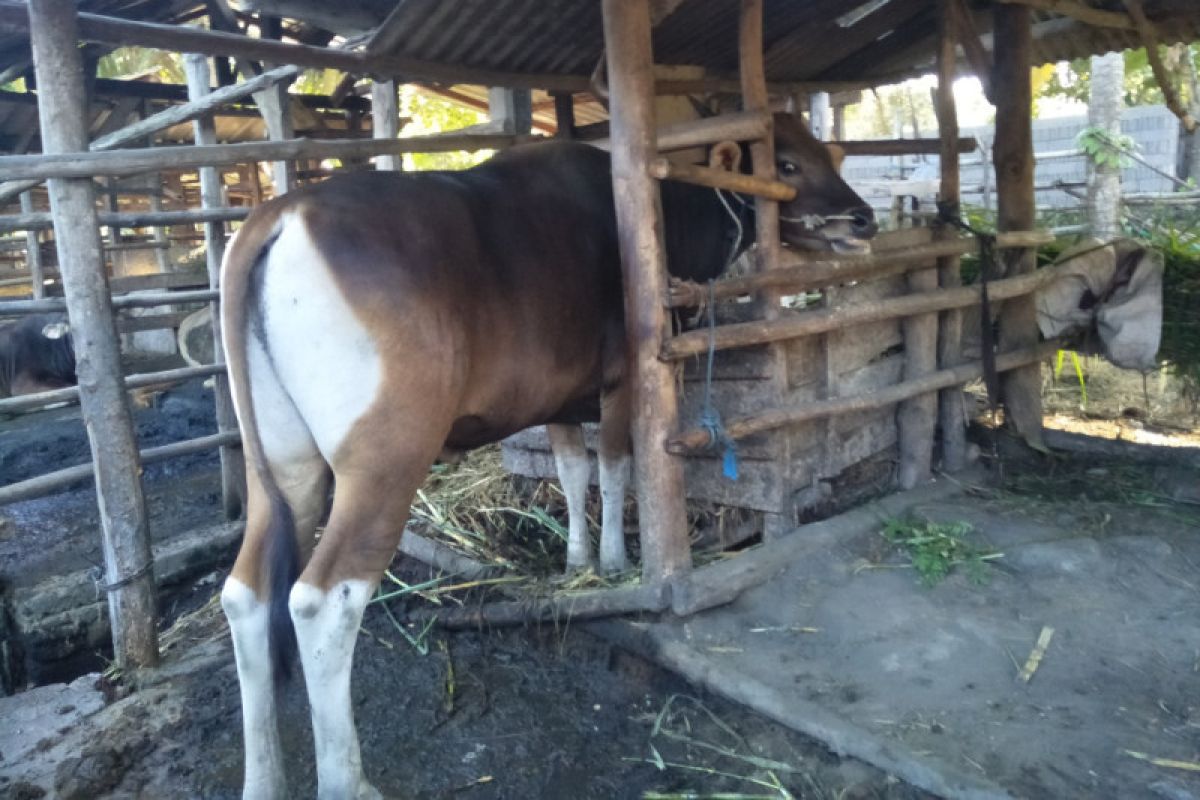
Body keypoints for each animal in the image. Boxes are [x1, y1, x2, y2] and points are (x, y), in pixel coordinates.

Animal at [216, 113, 873, 800]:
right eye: (787, 164)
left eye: (827, 153)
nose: (862, 220)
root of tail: (280, 216)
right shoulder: (622, 384)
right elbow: (614, 469)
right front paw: (614, 561)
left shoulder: (559, 400)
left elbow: (572, 471)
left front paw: (576, 560)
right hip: (384, 463)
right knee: (323, 601)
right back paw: (351, 780)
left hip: (283, 471)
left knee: (248, 596)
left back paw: (263, 778)